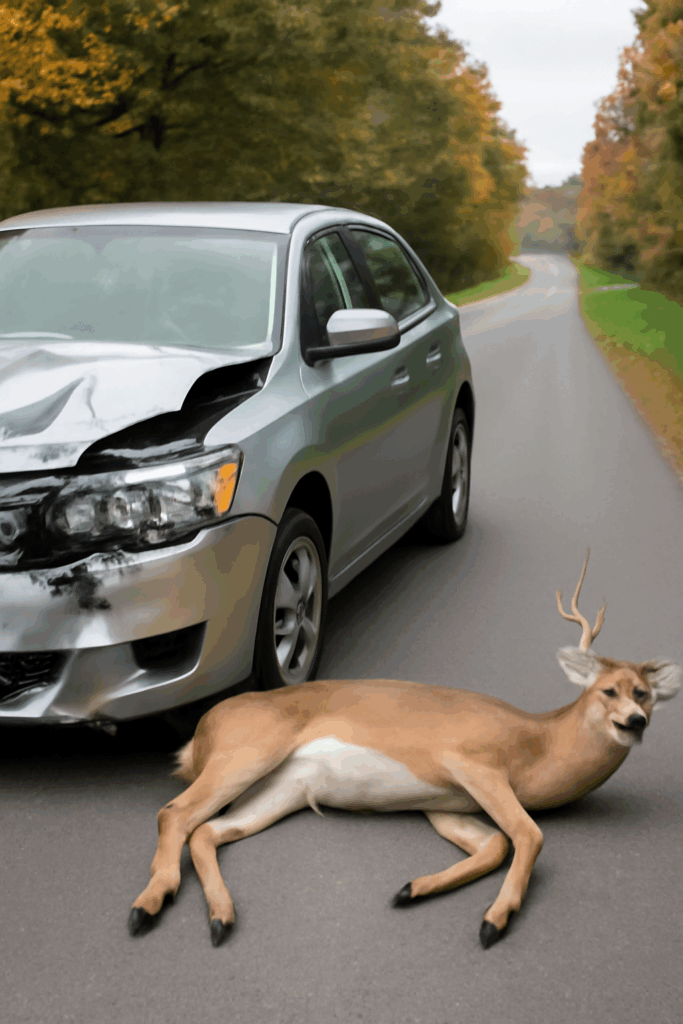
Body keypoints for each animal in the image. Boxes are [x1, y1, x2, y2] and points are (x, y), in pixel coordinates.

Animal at [128, 551, 681, 949]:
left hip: (282, 789)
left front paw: (410, 889)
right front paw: (493, 921)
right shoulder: (472, 763)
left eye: (644, 693)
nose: (635, 722)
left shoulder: (445, 804)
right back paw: (146, 905)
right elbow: (529, 834)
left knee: (206, 831)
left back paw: (221, 918)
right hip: (246, 753)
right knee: (174, 812)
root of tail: (202, 731)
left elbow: (496, 844)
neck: (537, 741)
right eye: (607, 689)